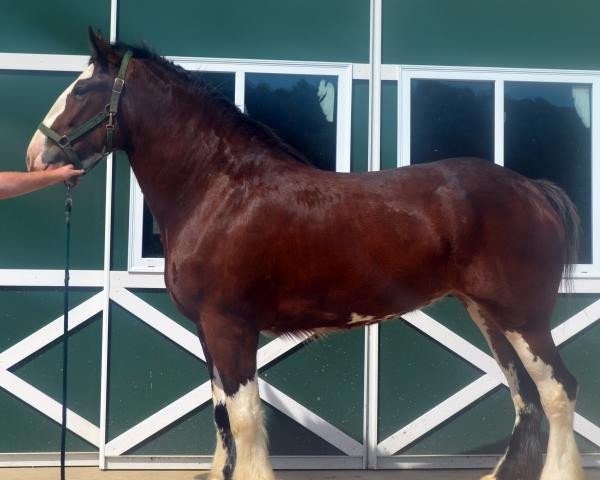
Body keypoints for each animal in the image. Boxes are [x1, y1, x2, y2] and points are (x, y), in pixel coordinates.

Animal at [25, 30, 584, 480]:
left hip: (522, 317)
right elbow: (221, 415)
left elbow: (245, 417)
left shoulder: (229, 326)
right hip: (489, 315)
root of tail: (533, 189)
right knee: (526, 398)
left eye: (80, 90)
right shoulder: (208, 332)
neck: (219, 189)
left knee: (558, 391)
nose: (35, 156)